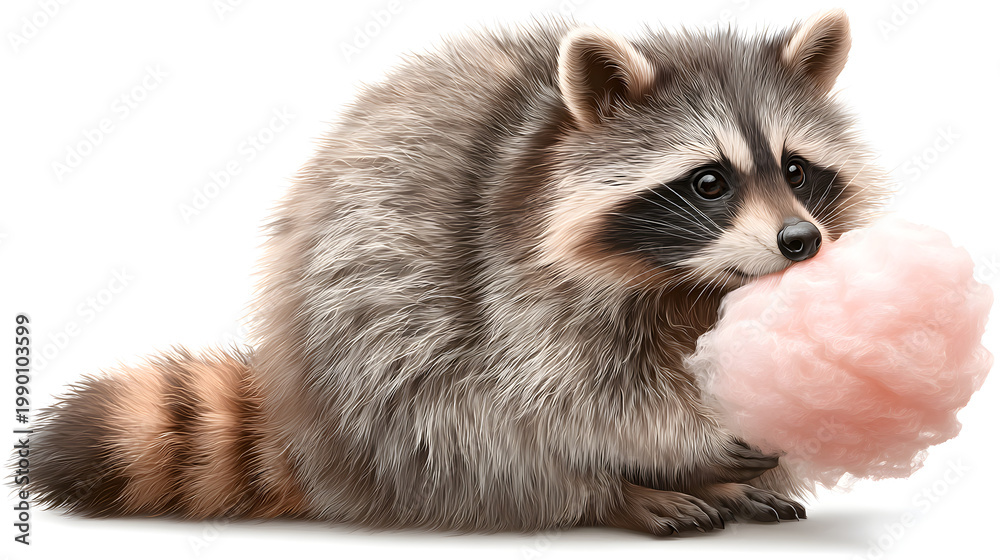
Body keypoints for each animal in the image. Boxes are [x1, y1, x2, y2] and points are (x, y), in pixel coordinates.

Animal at [26, 10, 887, 536]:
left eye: (797, 170)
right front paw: (684, 445)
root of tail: (307, 428)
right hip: (370, 357)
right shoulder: (510, 277)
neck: (692, 281)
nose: (800, 241)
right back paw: (619, 493)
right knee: (466, 429)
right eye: (710, 182)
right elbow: (569, 394)